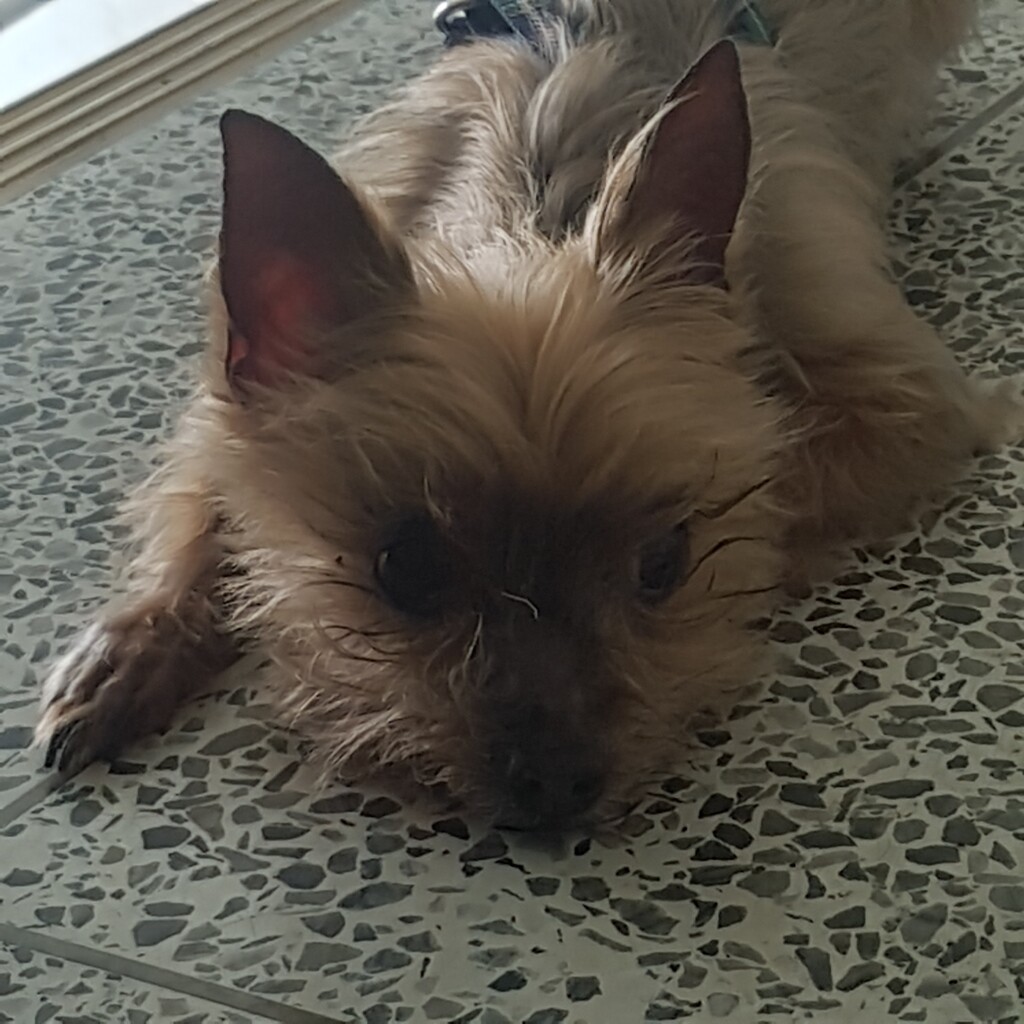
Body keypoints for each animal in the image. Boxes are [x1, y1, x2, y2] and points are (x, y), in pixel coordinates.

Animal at [36, 0, 1020, 830]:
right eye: (406, 569)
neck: (538, 198)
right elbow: (214, 506)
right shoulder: (232, 403)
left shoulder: (896, 399)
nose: (554, 787)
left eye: (665, 561)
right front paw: (133, 648)